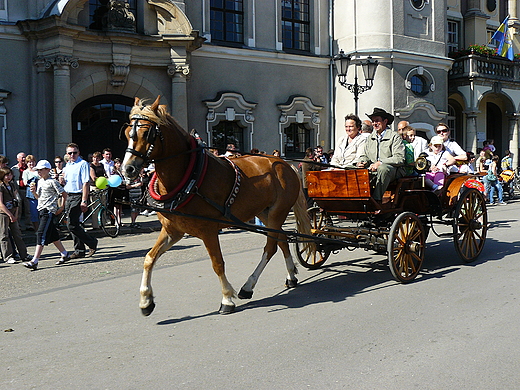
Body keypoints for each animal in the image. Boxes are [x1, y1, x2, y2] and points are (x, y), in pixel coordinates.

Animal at [122, 96, 310, 316]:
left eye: (147, 133)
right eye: (127, 133)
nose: (127, 169)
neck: (190, 177)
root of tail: (285, 164)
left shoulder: (208, 230)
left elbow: (217, 263)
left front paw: (227, 298)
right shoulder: (172, 230)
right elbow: (149, 258)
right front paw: (145, 301)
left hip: (277, 213)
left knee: (271, 247)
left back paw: (248, 286)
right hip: (266, 214)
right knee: (281, 241)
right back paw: (290, 276)